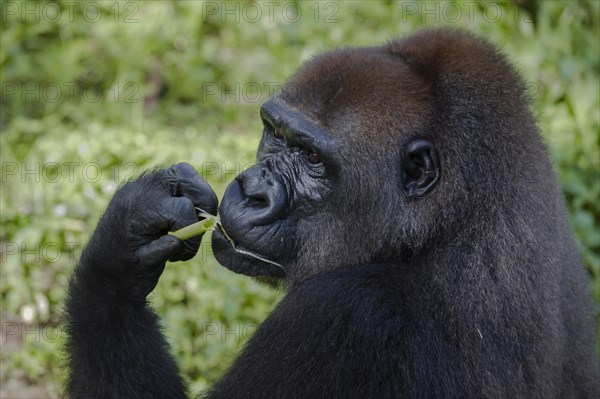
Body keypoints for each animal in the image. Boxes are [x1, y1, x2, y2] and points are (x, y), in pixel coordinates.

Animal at [63, 28, 596, 399]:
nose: (251, 191)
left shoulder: (347, 310)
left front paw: (115, 259)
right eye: (275, 134)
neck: (451, 219)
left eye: (313, 159)